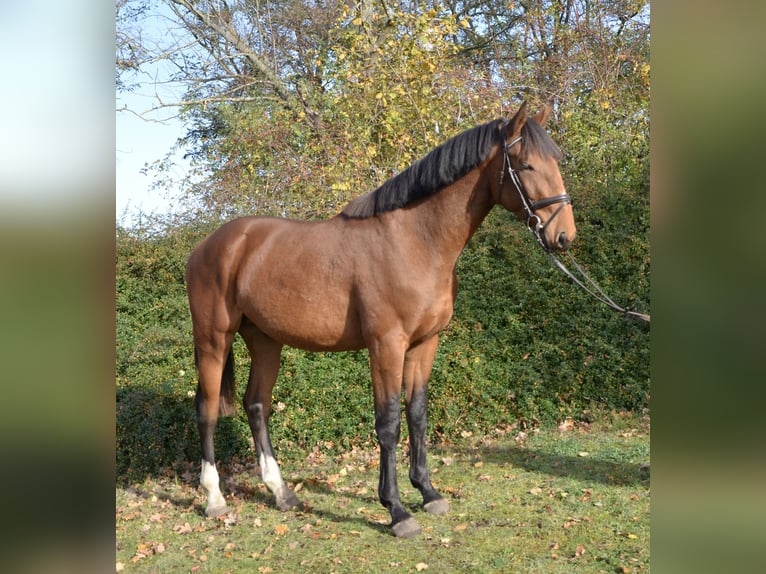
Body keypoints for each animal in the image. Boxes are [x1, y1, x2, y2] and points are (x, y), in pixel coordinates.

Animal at [184, 103, 576, 540]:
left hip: (266, 340)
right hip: (213, 338)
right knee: (207, 409)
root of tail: (209, 246)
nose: (564, 235)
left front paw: (428, 492)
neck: (415, 240)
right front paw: (397, 510)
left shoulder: (424, 343)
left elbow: (417, 413)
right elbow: (388, 422)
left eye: (557, 161)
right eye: (526, 165)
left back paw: (281, 492)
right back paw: (214, 499)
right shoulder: (386, 344)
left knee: (256, 406)